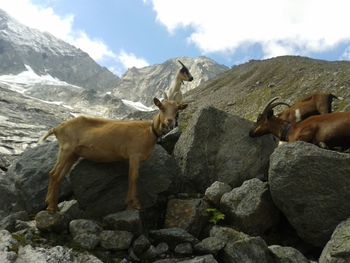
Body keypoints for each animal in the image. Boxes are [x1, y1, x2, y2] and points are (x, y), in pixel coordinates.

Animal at [39, 98, 187, 213]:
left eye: (177, 110)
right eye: (161, 107)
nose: (170, 121)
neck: (149, 130)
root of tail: (57, 129)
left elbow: (131, 177)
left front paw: (129, 203)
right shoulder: (134, 154)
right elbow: (133, 177)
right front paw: (135, 204)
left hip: (73, 154)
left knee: (59, 175)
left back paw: (52, 205)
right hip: (66, 149)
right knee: (54, 174)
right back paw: (51, 207)